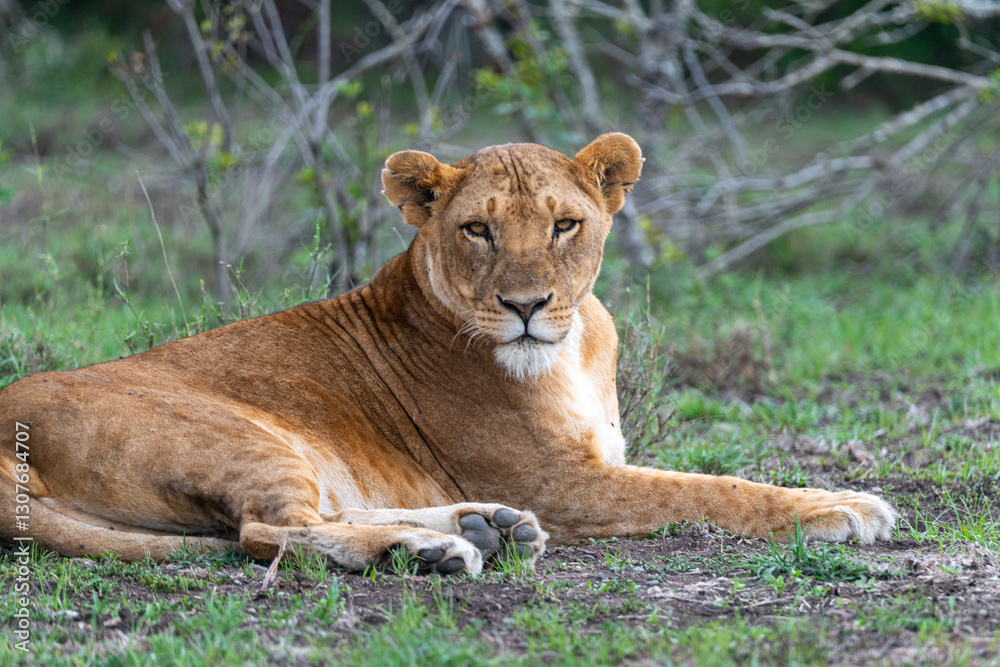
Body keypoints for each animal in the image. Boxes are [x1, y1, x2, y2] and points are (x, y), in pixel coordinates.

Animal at [0, 133, 896, 575]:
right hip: (236, 434)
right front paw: (839, 506)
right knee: (266, 530)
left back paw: (483, 526)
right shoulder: (563, 481)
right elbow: (717, 488)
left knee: (311, 515)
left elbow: (710, 478)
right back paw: (433, 550)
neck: (573, 347)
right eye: (478, 230)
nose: (527, 305)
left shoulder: (577, 471)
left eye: (565, 224)